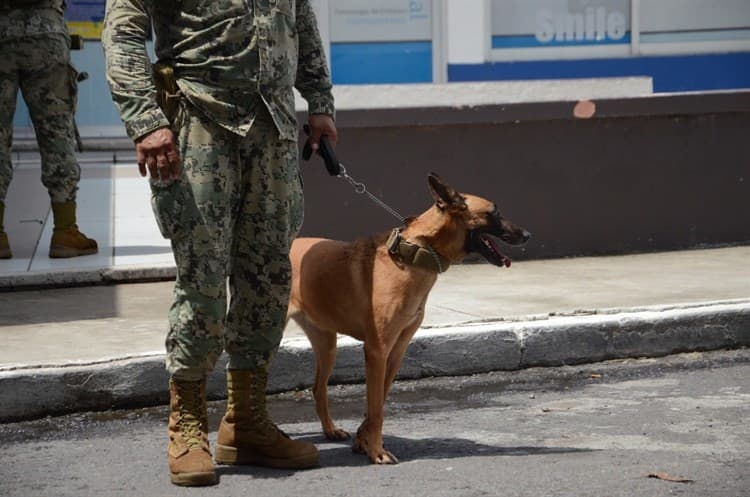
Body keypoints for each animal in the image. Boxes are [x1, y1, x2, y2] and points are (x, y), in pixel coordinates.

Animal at [286, 172, 528, 464]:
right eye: (494, 212)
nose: (528, 235)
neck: (416, 253)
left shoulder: (396, 350)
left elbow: (379, 401)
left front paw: (363, 440)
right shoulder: (377, 351)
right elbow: (376, 407)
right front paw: (376, 451)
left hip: (327, 344)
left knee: (318, 388)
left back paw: (330, 430)